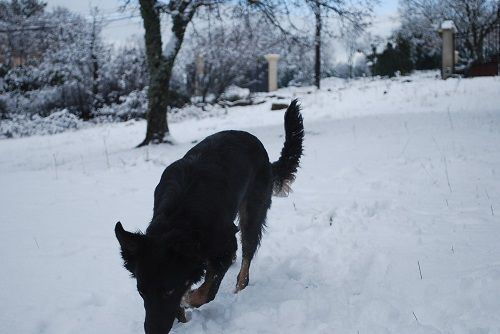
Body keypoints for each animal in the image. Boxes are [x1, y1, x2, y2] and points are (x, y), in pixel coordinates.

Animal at [115, 100, 302, 334]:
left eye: (169, 291)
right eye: (141, 292)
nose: (152, 331)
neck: (178, 219)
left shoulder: (226, 241)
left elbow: (205, 292)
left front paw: (189, 299)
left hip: (252, 212)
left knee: (247, 257)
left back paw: (239, 288)